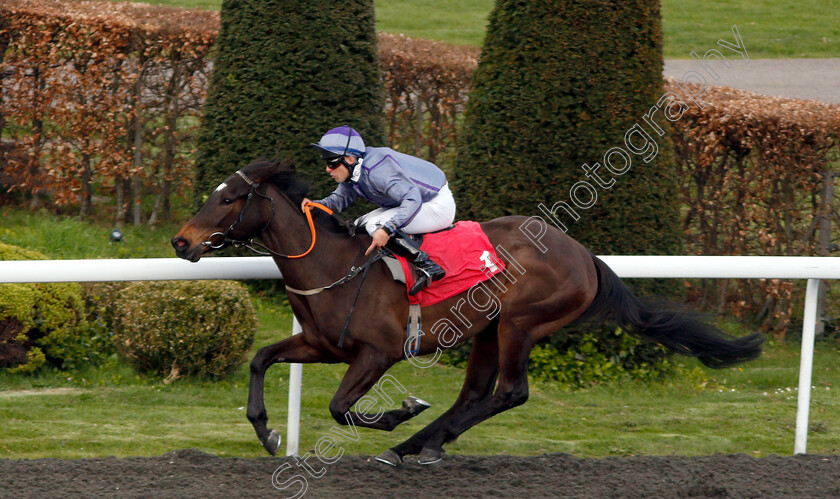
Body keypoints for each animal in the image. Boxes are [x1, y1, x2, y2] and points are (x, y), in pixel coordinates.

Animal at [172, 158, 768, 466]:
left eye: (228, 199)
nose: (181, 241)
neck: (335, 266)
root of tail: (585, 256)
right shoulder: (320, 345)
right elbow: (260, 359)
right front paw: (268, 434)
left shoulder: (379, 353)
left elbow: (343, 408)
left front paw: (402, 411)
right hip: (489, 327)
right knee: (477, 393)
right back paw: (421, 445)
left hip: (522, 323)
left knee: (509, 393)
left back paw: (416, 441)